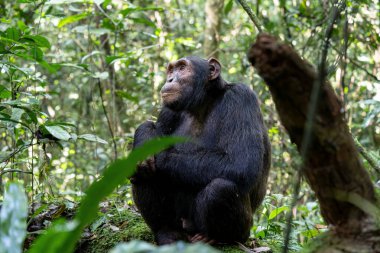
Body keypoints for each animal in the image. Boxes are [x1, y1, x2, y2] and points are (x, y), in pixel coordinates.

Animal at [131, 55, 270, 245]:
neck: (202, 103)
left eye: (182, 68)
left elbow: (241, 163)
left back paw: (214, 238)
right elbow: (154, 130)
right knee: (142, 174)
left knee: (220, 188)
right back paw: (168, 233)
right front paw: (142, 141)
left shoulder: (241, 98)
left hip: (242, 231)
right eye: (171, 70)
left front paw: (154, 155)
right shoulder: (168, 110)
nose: (170, 79)